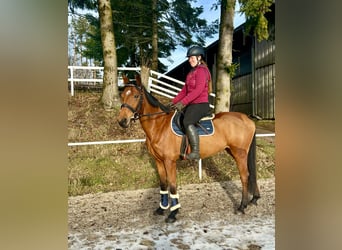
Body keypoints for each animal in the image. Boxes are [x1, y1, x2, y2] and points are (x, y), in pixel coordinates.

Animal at [117, 74, 260, 223]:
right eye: (122, 95)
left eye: (136, 96)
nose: (122, 121)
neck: (159, 125)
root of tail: (247, 118)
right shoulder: (159, 161)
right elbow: (163, 184)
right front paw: (161, 209)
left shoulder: (169, 162)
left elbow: (172, 185)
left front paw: (173, 213)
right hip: (234, 151)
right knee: (251, 173)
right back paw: (253, 199)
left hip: (239, 153)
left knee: (244, 176)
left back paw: (242, 206)